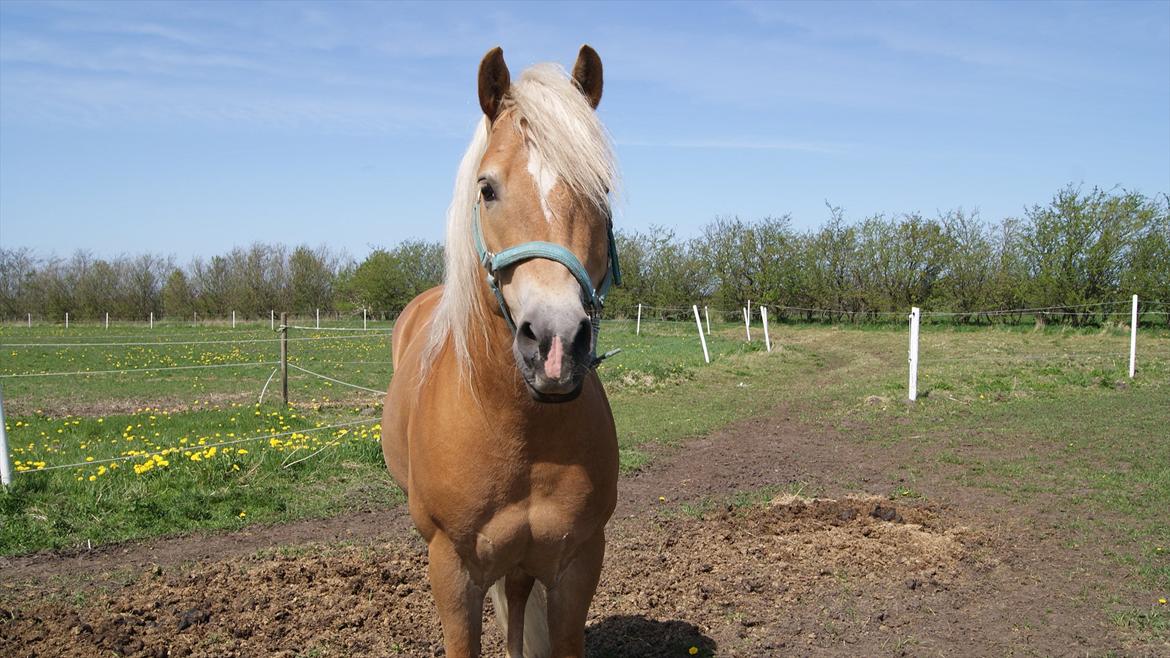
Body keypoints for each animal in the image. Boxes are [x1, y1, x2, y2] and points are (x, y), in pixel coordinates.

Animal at [381, 46, 622, 655]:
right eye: (487, 188)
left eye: (602, 190)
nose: (556, 344)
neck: (519, 427)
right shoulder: (451, 569)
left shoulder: (578, 561)